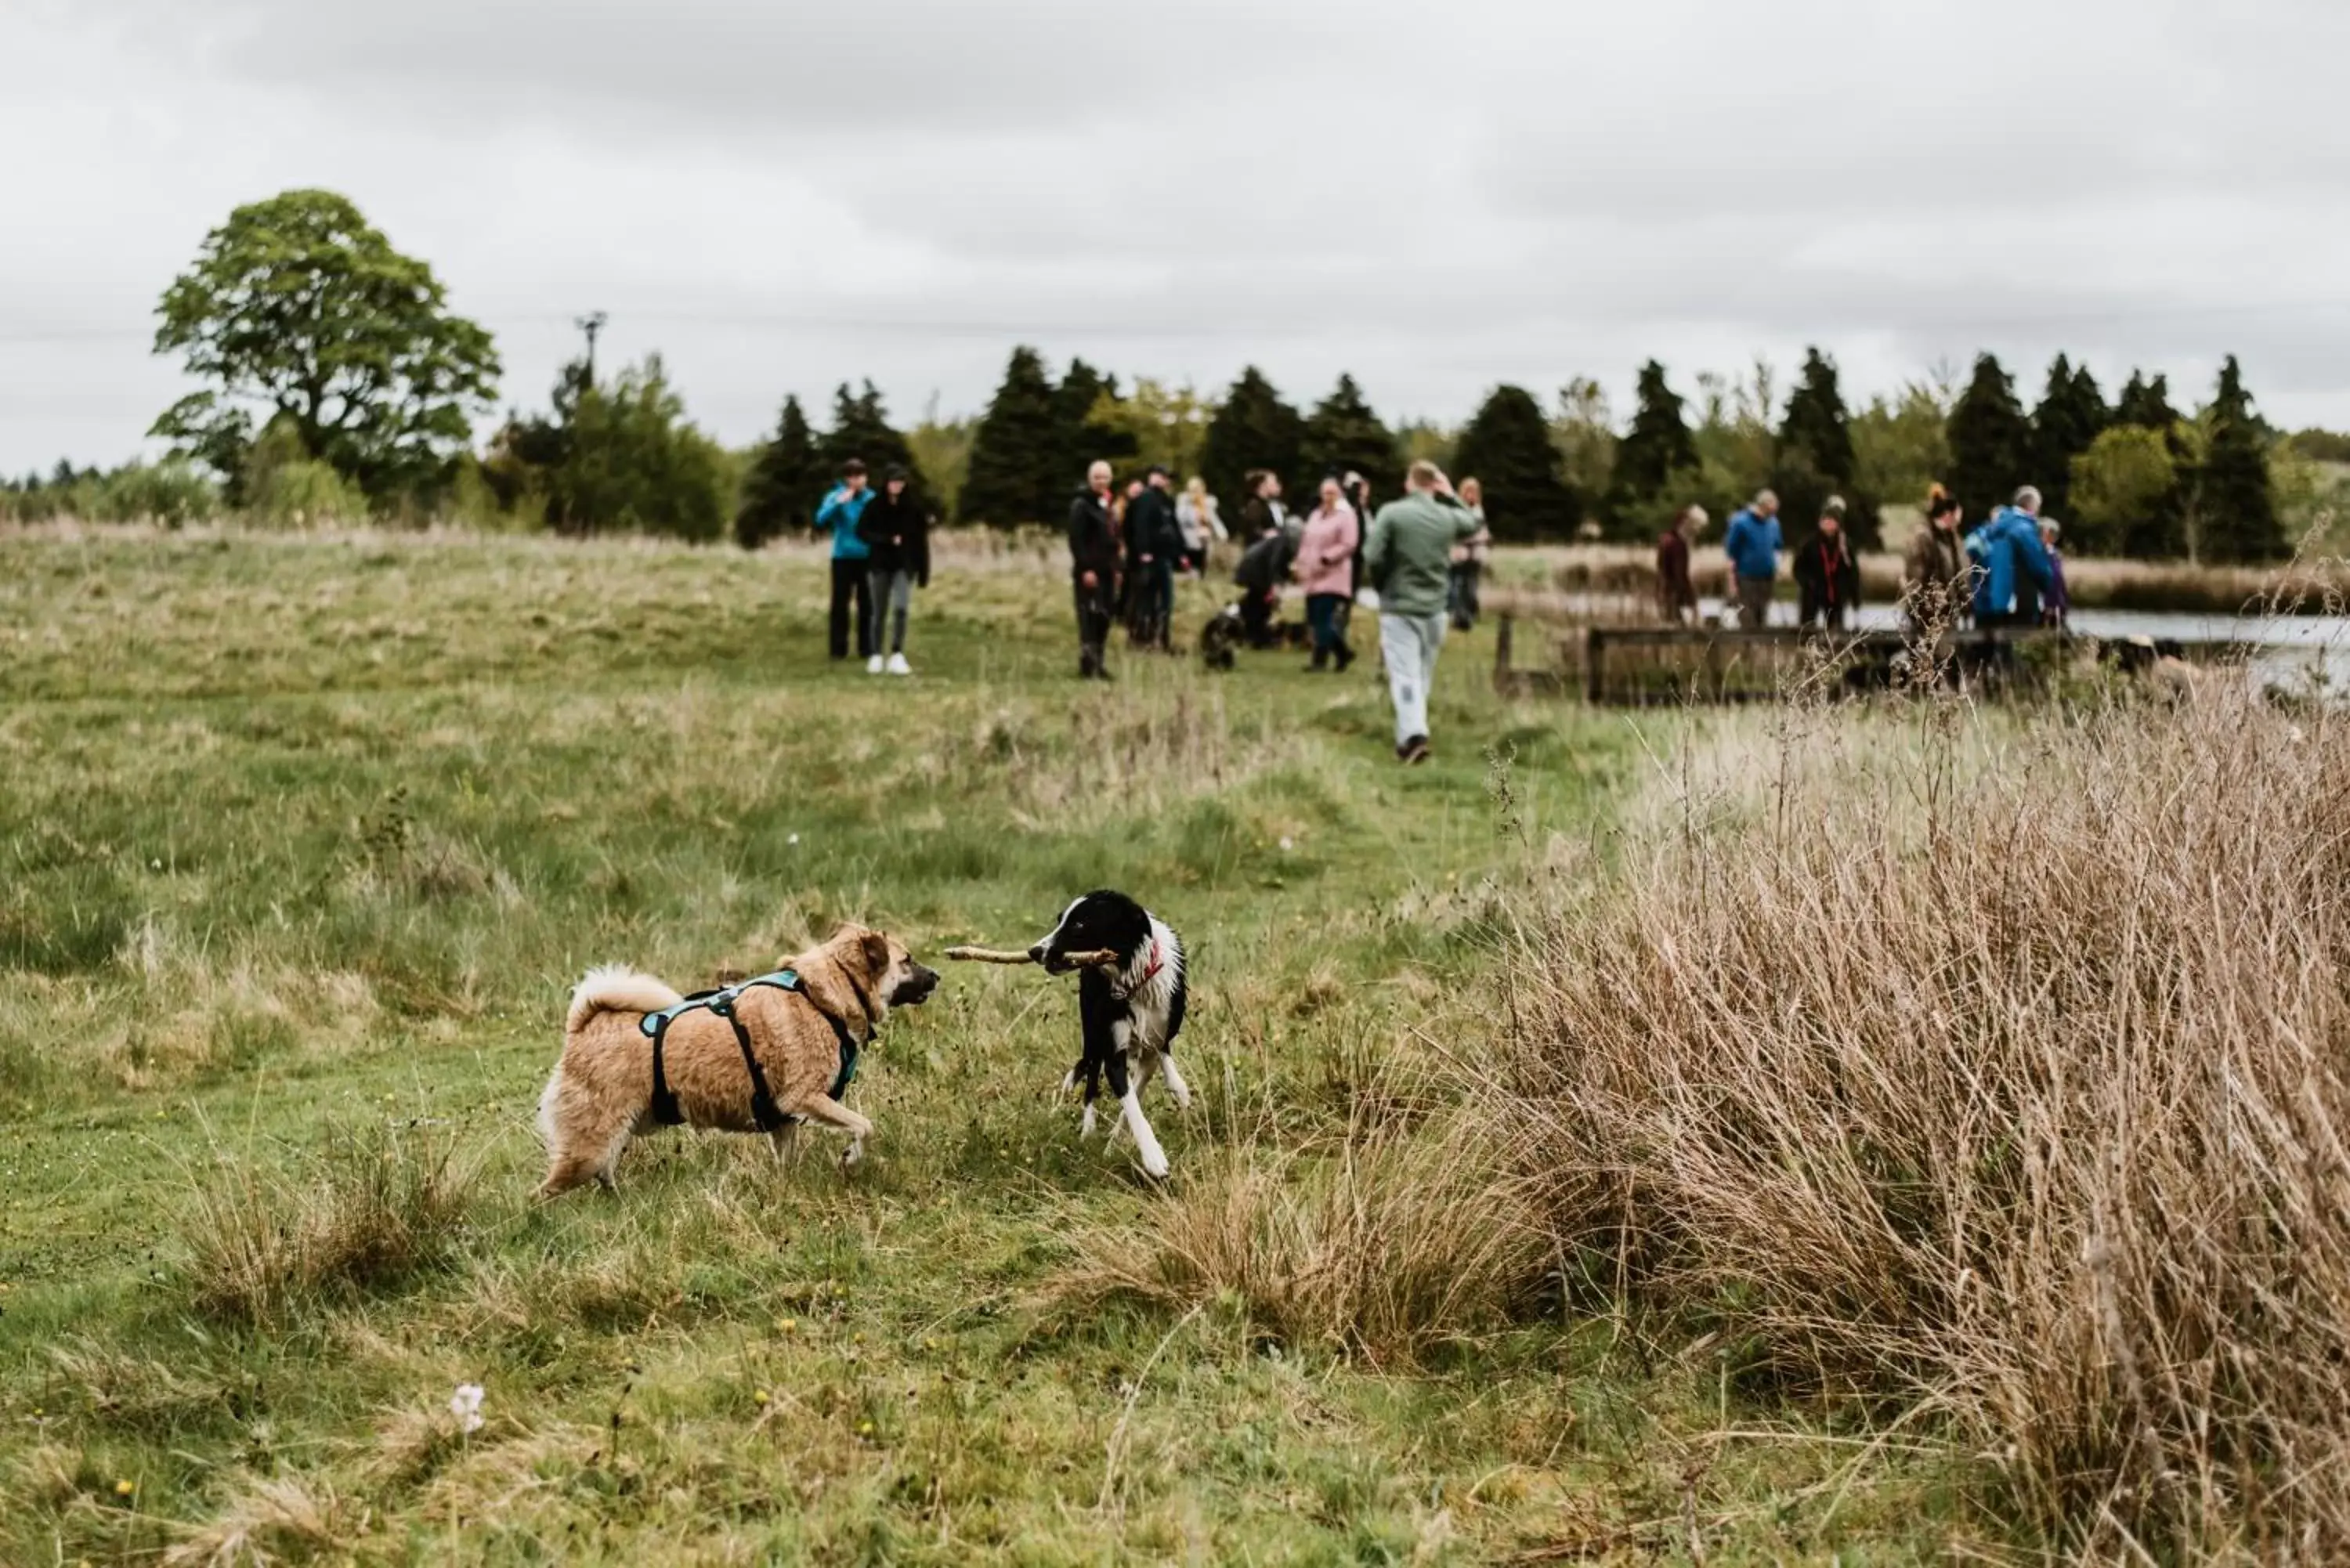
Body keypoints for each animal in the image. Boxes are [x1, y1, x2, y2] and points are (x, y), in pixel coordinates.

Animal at [533, 926, 935, 1194]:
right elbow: (865, 1126)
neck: (820, 996)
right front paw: (852, 1158)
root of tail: (582, 1027)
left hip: (607, 1143)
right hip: (585, 1152)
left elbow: (787, 1162)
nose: (937, 976)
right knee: (545, 1192)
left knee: (603, 1176)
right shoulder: (805, 1097)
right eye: (907, 960)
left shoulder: (783, 1120)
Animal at [1029, 893, 1194, 1175]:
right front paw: (1152, 1156)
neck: (1134, 979)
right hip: (1093, 1035)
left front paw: (1117, 1143)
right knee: (1091, 1079)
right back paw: (1088, 1129)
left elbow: (1135, 1096)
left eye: (1079, 924)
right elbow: (1132, 1105)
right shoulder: (1113, 1051)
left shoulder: (1153, 1045)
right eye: (1060, 919)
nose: (1035, 951)